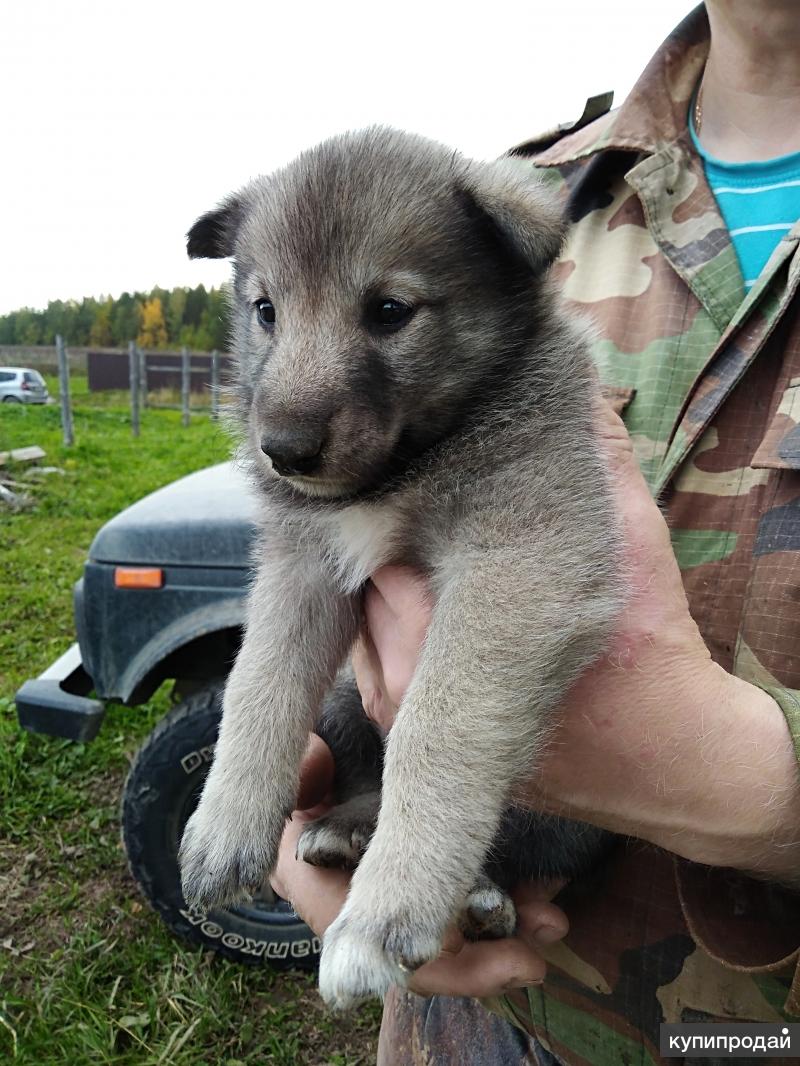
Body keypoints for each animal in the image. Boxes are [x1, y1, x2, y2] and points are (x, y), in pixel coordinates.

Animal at [178, 126, 622, 1006]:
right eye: (266, 310)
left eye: (389, 310)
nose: (283, 450)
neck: (401, 471)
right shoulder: (302, 564)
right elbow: (258, 684)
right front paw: (224, 825)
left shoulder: (518, 564)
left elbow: (437, 726)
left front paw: (388, 910)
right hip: (348, 698)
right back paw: (345, 831)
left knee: (515, 847)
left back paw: (473, 893)